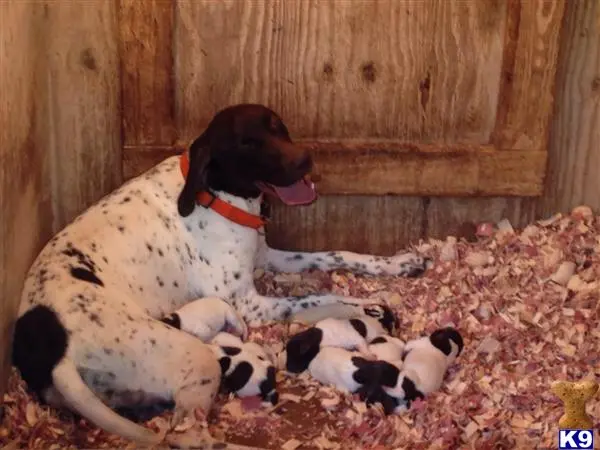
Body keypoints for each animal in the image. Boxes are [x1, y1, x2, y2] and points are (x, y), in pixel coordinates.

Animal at [11, 104, 428, 446]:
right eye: (247, 145)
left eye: (277, 126)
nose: (306, 160)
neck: (214, 194)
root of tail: (49, 343)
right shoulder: (248, 303)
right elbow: (322, 297)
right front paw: (367, 305)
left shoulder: (267, 256)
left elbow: (338, 255)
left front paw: (399, 265)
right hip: (195, 358)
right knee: (188, 437)